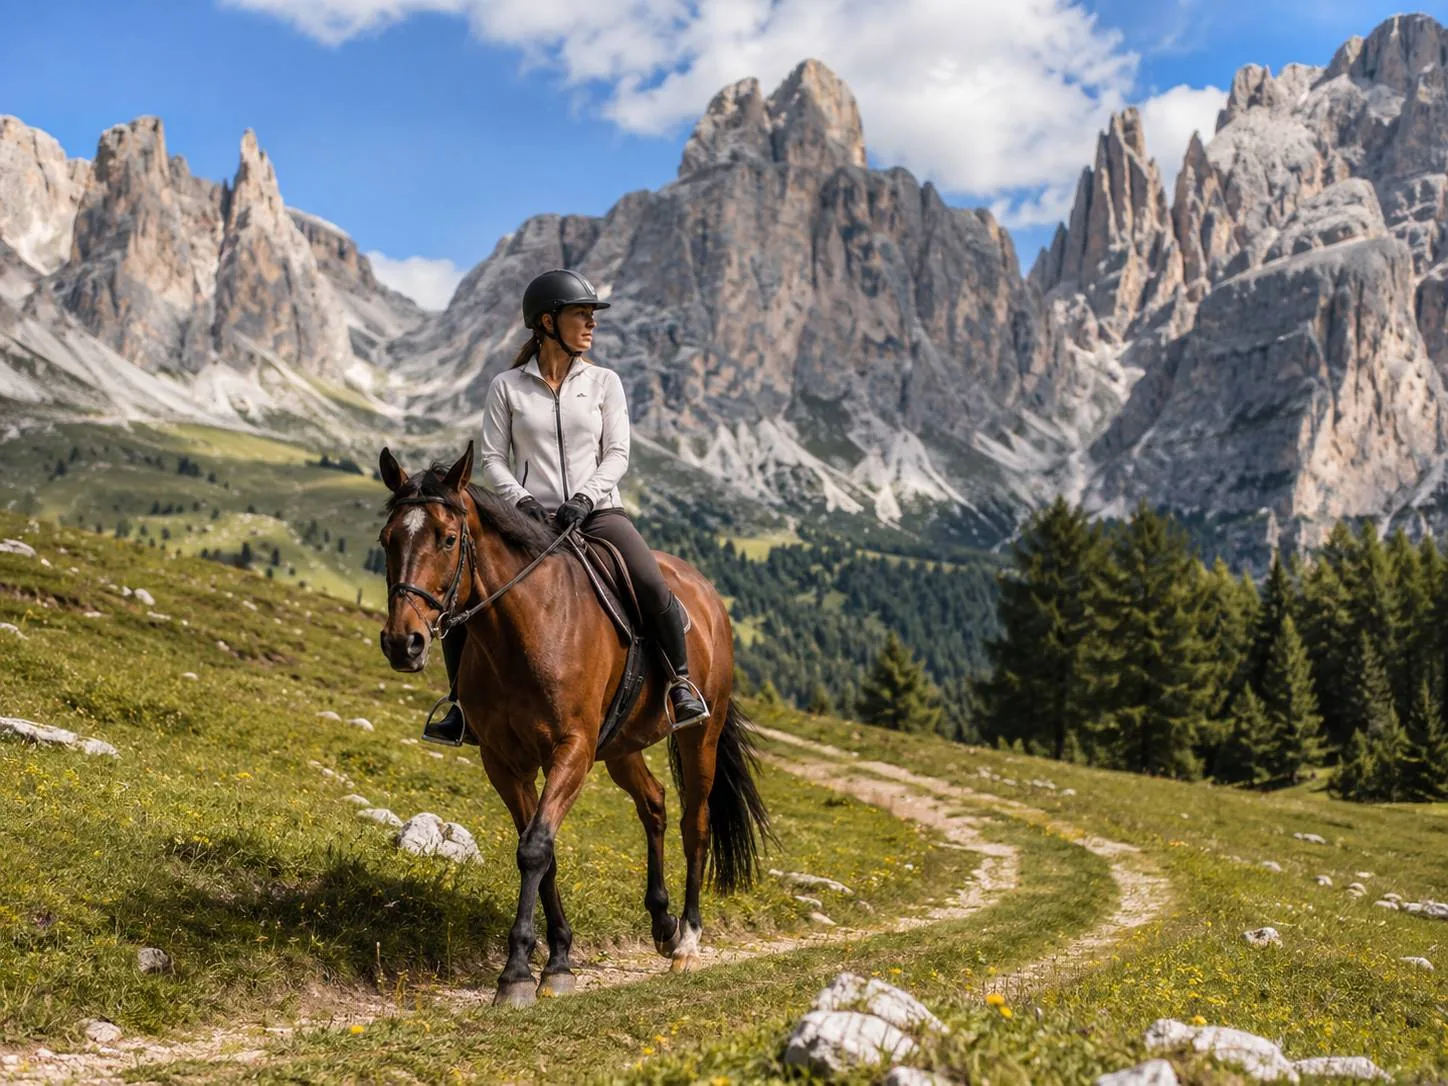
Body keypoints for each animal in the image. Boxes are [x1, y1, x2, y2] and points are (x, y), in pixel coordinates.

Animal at [373, 441, 771, 1006]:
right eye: (387, 539)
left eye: (448, 539)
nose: (401, 643)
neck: (527, 628)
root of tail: (707, 593)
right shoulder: (504, 761)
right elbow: (544, 853)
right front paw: (556, 959)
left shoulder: (573, 749)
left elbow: (536, 848)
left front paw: (518, 972)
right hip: (622, 744)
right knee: (654, 803)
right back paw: (662, 923)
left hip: (700, 737)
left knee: (694, 823)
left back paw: (687, 941)